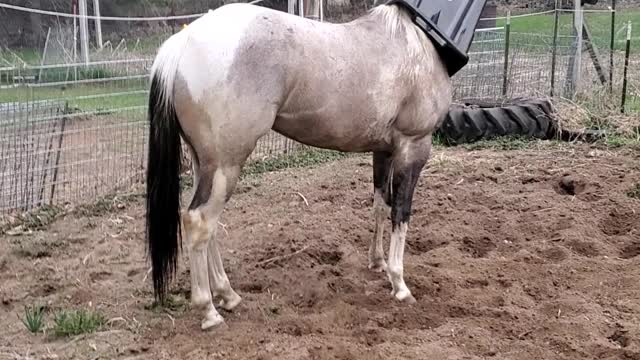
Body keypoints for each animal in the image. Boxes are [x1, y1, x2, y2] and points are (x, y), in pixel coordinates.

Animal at [148, 1, 452, 330]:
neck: (417, 41)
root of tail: (183, 42)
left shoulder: (383, 151)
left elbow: (380, 207)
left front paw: (377, 262)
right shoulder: (414, 147)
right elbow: (401, 213)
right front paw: (399, 285)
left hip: (205, 165)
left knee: (208, 225)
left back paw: (228, 295)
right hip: (225, 165)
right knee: (199, 222)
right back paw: (209, 312)